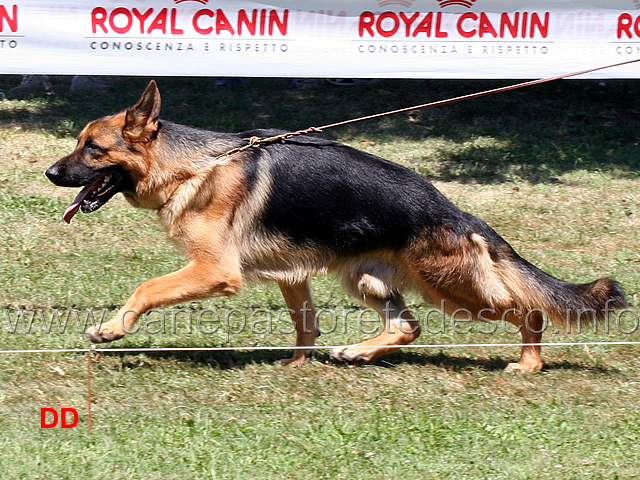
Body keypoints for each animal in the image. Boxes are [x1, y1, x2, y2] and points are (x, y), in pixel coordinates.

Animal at [47, 81, 628, 372]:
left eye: (92, 149)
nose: (50, 174)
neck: (193, 164)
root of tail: (456, 213)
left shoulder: (215, 270)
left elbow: (146, 288)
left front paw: (110, 329)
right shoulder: (290, 275)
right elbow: (305, 323)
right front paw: (297, 367)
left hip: (454, 291)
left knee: (529, 310)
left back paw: (529, 365)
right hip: (365, 279)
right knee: (407, 326)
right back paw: (357, 352)